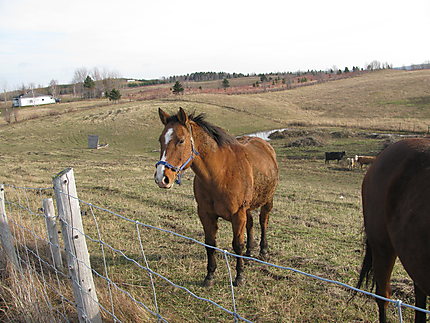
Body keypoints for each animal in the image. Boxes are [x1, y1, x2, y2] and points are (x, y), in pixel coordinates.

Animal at [155, 108, 278, 286]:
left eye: (181, 141)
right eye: (160, 140)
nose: (162, 178)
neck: (220, 174)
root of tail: (265, 145)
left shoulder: (237, 215)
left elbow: (237, 245)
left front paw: (239, 277)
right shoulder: (206, 214)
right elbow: (210, 244)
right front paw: (210, 276)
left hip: (267, 201)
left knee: (263, 222)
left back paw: (263, 251)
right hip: (248, 208)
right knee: (251, 224)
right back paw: (249, 253)